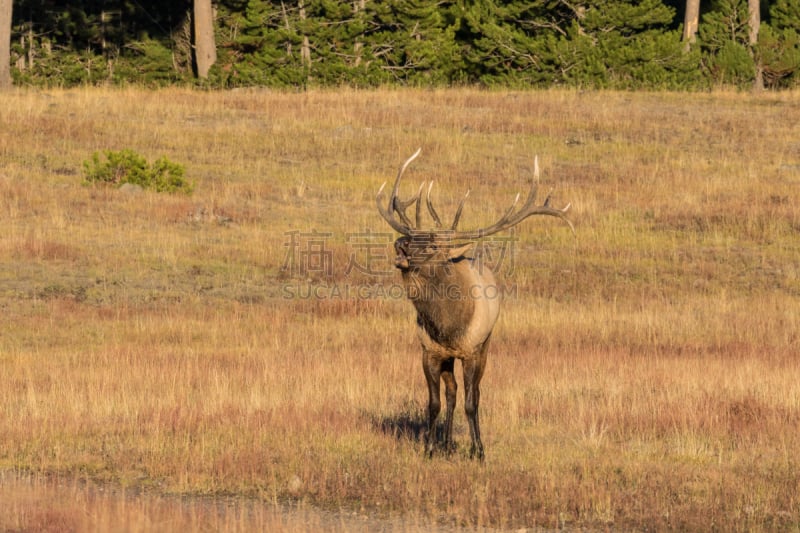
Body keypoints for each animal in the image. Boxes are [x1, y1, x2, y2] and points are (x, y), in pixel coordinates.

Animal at [378, 148, 572, 460]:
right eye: (412, 237)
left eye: (432, 246)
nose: (400, 244)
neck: (448, 326)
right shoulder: (429, 351)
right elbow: (433, 403)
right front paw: (430, 448)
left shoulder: (472, 350)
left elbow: (472, 402)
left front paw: (478, 451)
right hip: (449, 357)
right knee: (452, 391)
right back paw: (446, 443)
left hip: (485, 345)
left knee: (475, 392)